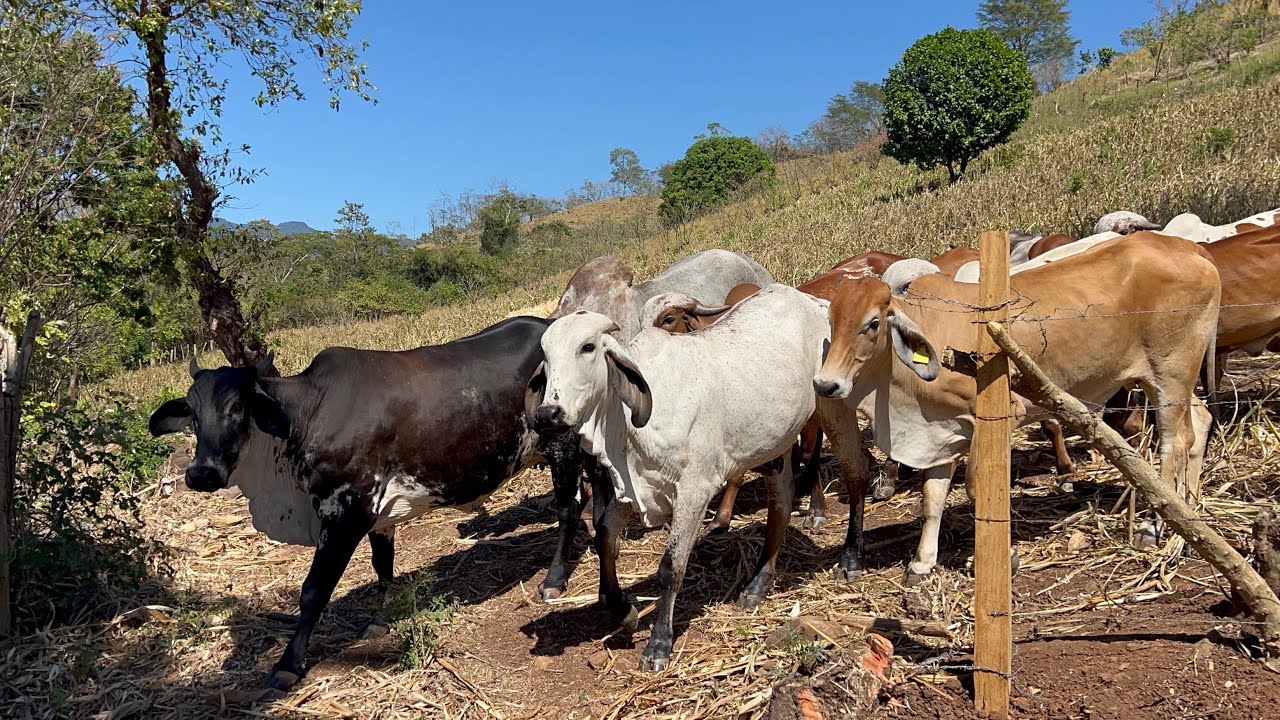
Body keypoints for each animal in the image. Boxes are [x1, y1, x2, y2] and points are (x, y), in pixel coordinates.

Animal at [148, 318, 589, 690]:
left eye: (237, 407)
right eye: (192, 413)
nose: (201, 474)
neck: (301, 419)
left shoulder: (345, 514)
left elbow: (314, 591)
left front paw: (287, 665)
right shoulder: (378, 515)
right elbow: (382, 567)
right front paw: (380, 621)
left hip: (562, 445)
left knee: (568, 509)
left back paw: (554, 579)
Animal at [526, 284, 837, 671]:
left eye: (588, 347)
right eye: (546, 356)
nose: (548, 413)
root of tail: (807, 299)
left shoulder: (694, 491)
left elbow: (670, 568)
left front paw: (658, 644)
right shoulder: (631, 488)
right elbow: (604, 539)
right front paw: (623, 608)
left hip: (828, 409)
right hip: (774, 442)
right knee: (780, 500)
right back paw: (758, 584)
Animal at [813, 233, 1220, 585]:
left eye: (873, 323)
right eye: (831, 320)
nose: (826, 384)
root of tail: (1188, 247)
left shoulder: (999, 416)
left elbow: (977, 489)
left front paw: (1002, 558)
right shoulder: (942, 431)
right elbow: (932, 499)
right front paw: (921, 564)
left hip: (1170, 375)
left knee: (1174, 442)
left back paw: (1154, 524)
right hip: (1167, 380)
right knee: (1200, 421)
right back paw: (1189, 510)